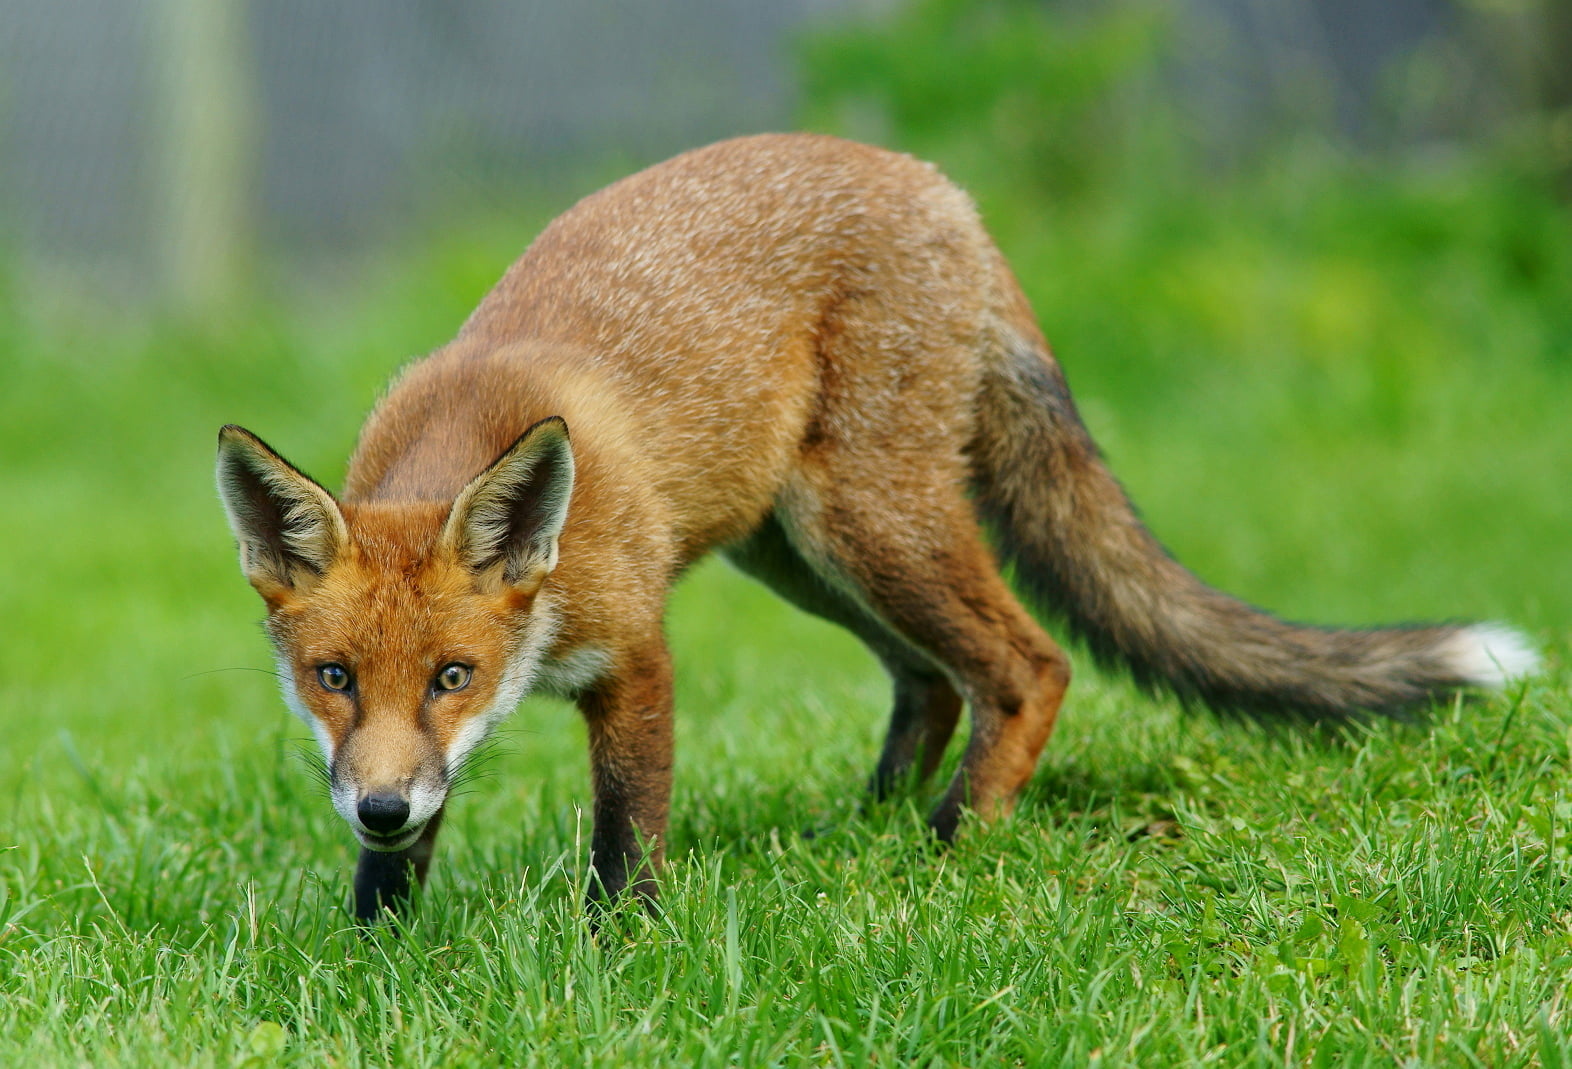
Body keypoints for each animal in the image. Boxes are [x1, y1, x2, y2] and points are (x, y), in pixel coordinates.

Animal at [217, 133, 1538, 923]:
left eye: (455, 674)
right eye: (334, 677)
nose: (381, 806)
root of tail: (942, 188)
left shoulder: (636, 653)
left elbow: (626, 839)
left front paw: (617, 953)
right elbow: (398, 874)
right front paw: (381, 950)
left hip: (868, 524)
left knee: (1028, 664)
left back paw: (946, 846)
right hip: (797, 552)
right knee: (935, 680)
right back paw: (864, 827)